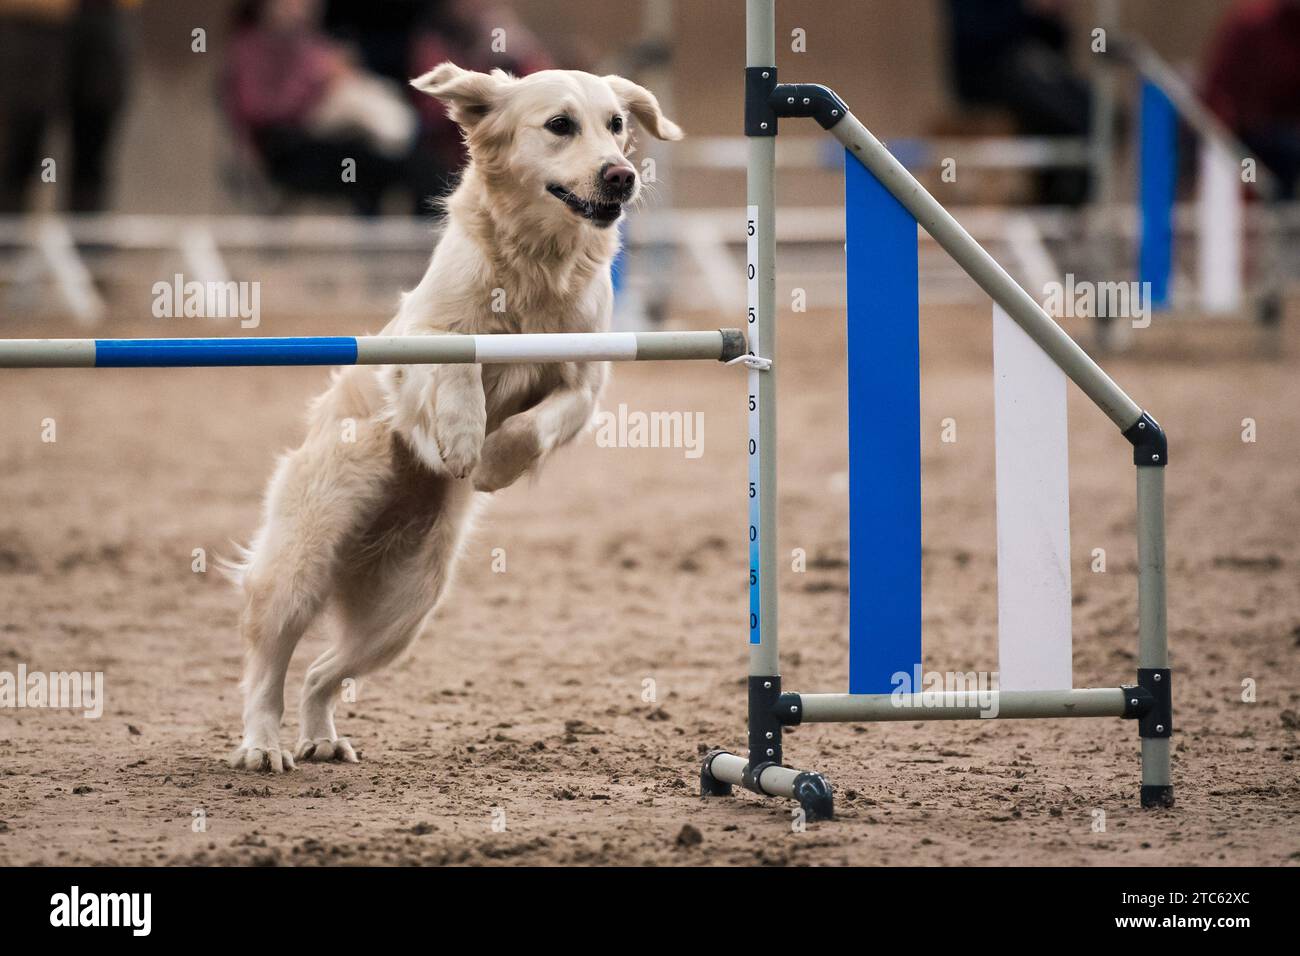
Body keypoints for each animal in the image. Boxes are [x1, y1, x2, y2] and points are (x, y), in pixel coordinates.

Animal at [228, 65, 686, 770]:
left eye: (616, 125)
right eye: (560, 125)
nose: (621, 175)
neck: (536, 263)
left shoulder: (585, 384)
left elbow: (536, 423)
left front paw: (492, 462)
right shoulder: (416, 352)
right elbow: (460, 362)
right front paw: (466, 439)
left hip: (407, 608)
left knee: (321, 674)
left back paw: (321, 738)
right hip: (300, 566)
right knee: (268, 664)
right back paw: (262, 744)